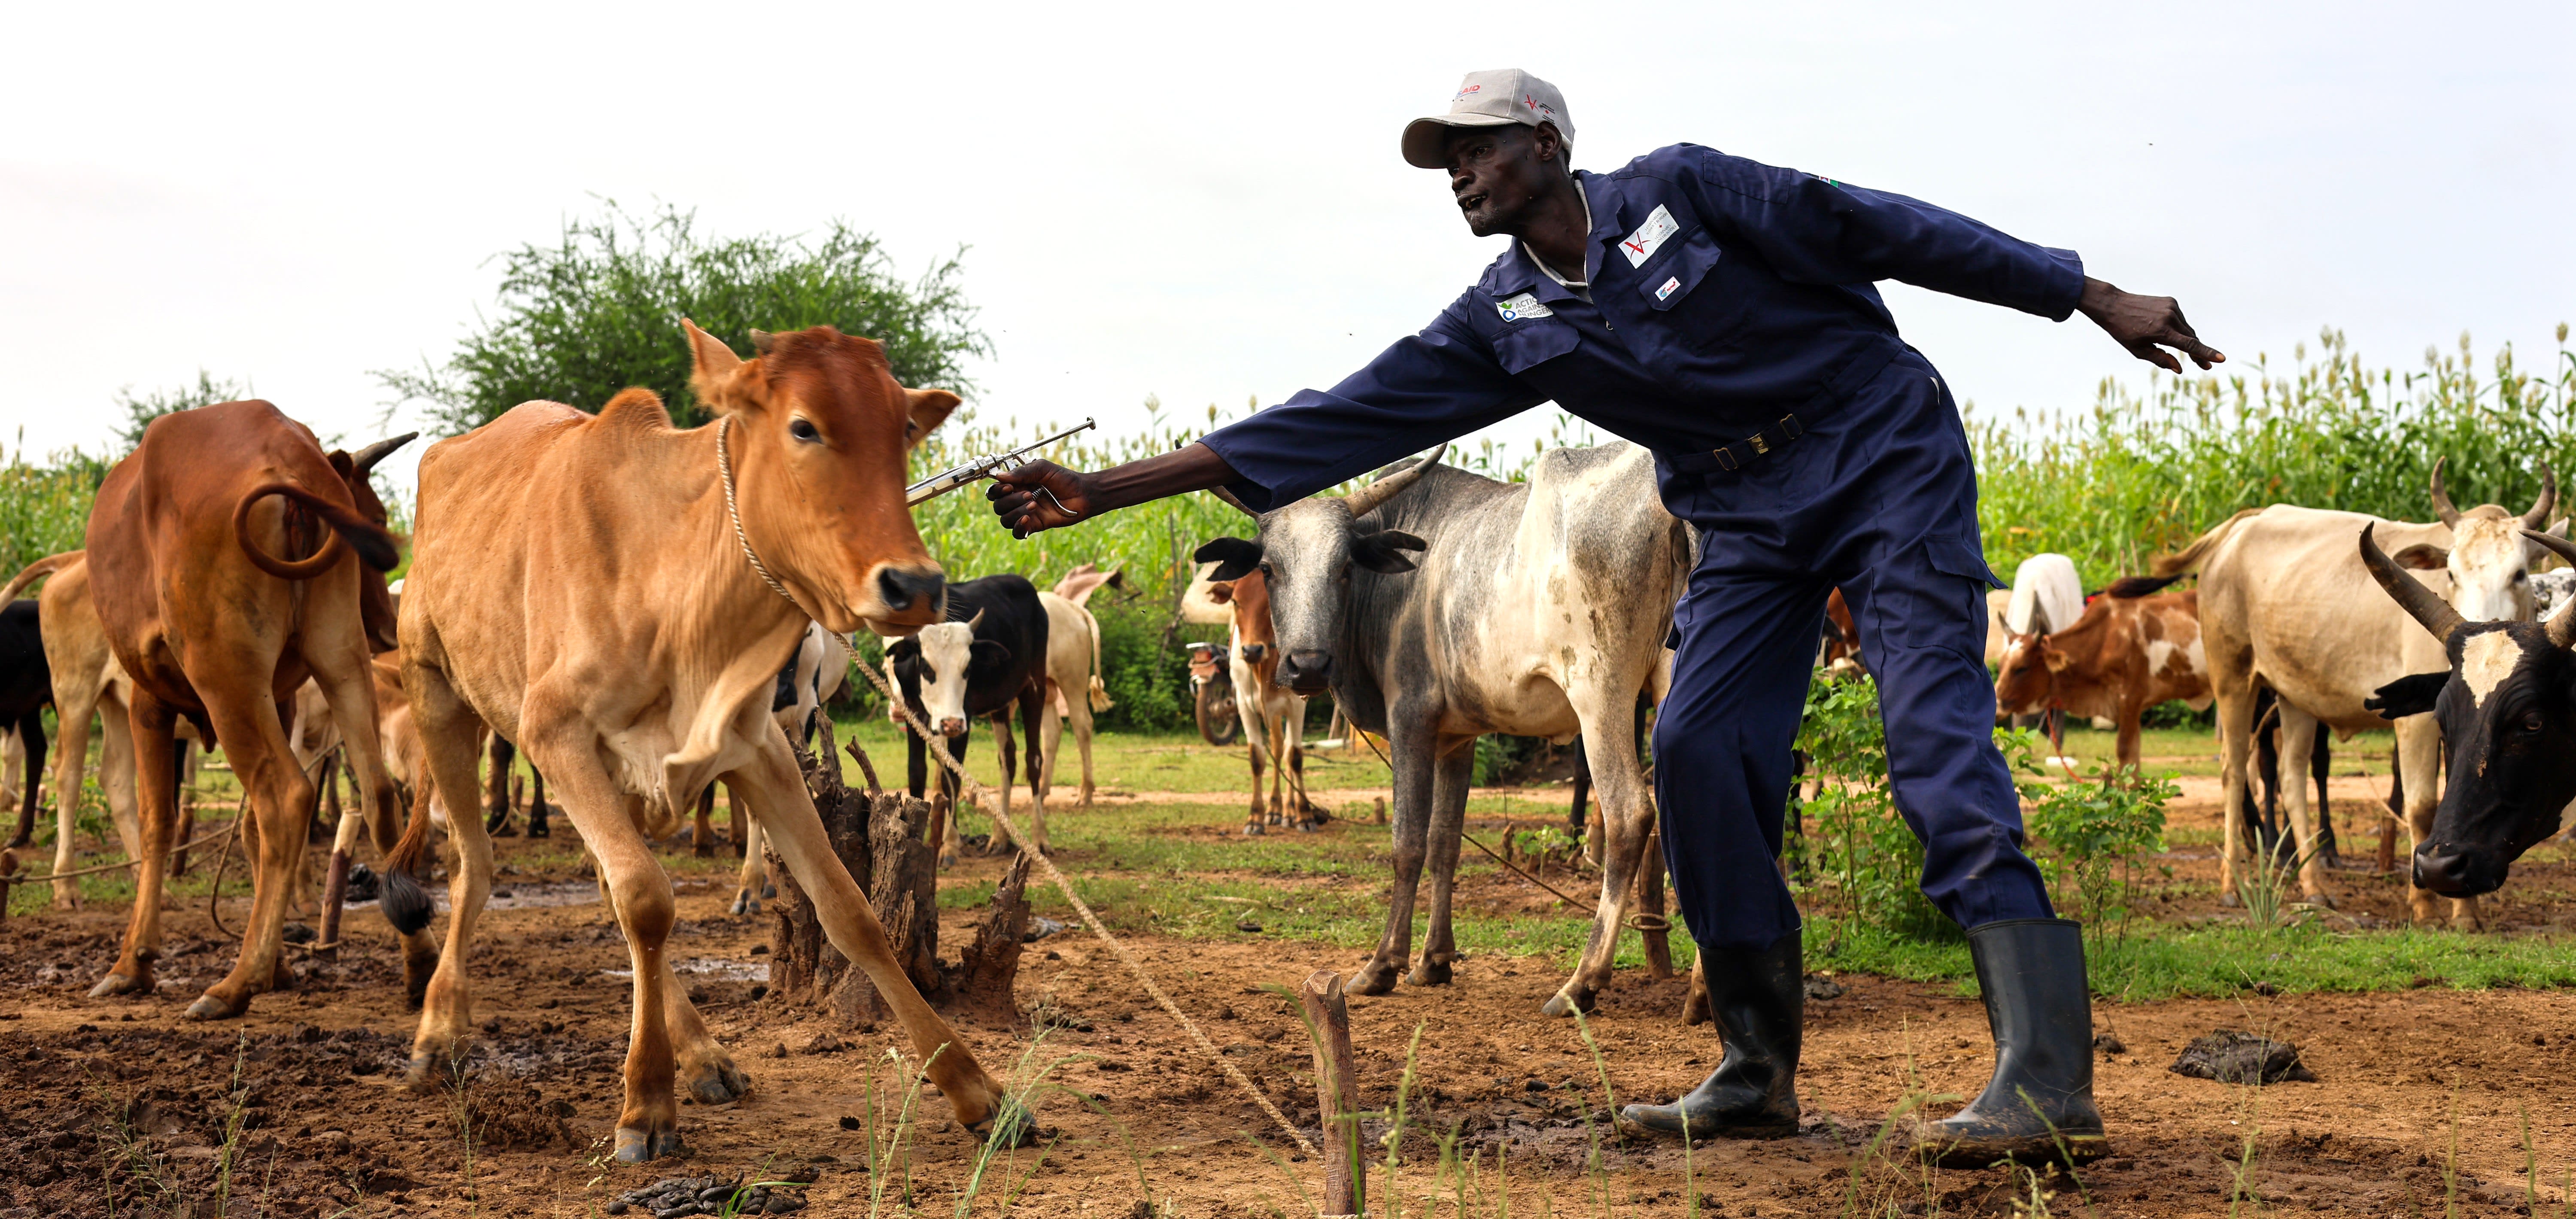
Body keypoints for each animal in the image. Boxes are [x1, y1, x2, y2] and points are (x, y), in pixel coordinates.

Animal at [81, 403, 421, 1017]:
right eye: (375, 515)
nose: (388, 625)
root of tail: (289, 459)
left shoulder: (151, 700)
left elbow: (158, 820)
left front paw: (132, 962)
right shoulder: (281, 699)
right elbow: (250, 835)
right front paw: (285, 963)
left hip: (227, 682)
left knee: (286, 798)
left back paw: (238, 981)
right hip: (340, 658)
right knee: (378, 794)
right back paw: (419, 961)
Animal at [387, 322, 1006, 1160]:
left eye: (904, 427)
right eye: (803, 426)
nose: (914, 585)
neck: (667, 575)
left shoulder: (758, 746)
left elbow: (850, 909)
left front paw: (974, 1086)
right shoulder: (557, 734)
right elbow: (648, 900)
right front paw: (646, 1104)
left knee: (606, 886)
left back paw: (707, 1055)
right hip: (438, 696)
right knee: (476, 865)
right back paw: (440, 1028)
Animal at [883, 575, 1050, 866]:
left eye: (968, 669)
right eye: (927, 668)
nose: (950, 723)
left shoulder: (965, 719)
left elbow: (952, 776)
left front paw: (950, 846)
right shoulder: (913, 713)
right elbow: (917, 773)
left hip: (1034, 687)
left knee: (1034, 760)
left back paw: (1039, 837)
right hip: (1001, 704)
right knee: (1008, 757)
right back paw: (999, 838)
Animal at [1203, 568, 1318, 833]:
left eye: (1269, 602)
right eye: (1236, 602)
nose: (1252, 651)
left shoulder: (1297, 704)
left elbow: (1295, 757)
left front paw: (1304, 815)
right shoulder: (1244, 704)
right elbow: (1257, 758)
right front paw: (1255, 817)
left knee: (1286, 750)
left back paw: (1290, 811)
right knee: (1277, 747)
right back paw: (1276, 810)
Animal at [1992, 574, 2211, 770]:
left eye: (2022, 668)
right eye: (2001, 665)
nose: (1996, 706)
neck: (2104, 638)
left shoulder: (2130, 699)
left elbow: (2125, 753)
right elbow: (2133, 758)